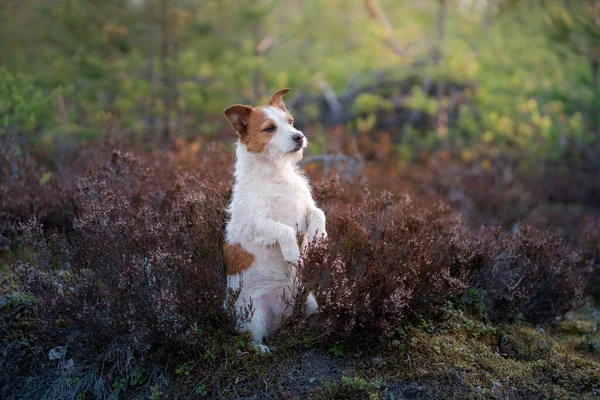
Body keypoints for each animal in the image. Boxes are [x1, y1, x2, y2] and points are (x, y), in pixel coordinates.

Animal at [224, 89, 328, 352]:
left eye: (290, 122)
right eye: (269, 128)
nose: (299, 136)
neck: (276, 173)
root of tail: (281, 319)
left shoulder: (304, 210)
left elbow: (318, 214)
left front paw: (319, 237)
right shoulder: (257, 225)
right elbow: (283, 230)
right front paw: (292, 253)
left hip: (309, 302)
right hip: (253, 315)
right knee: (249, 340)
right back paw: (262, 350)